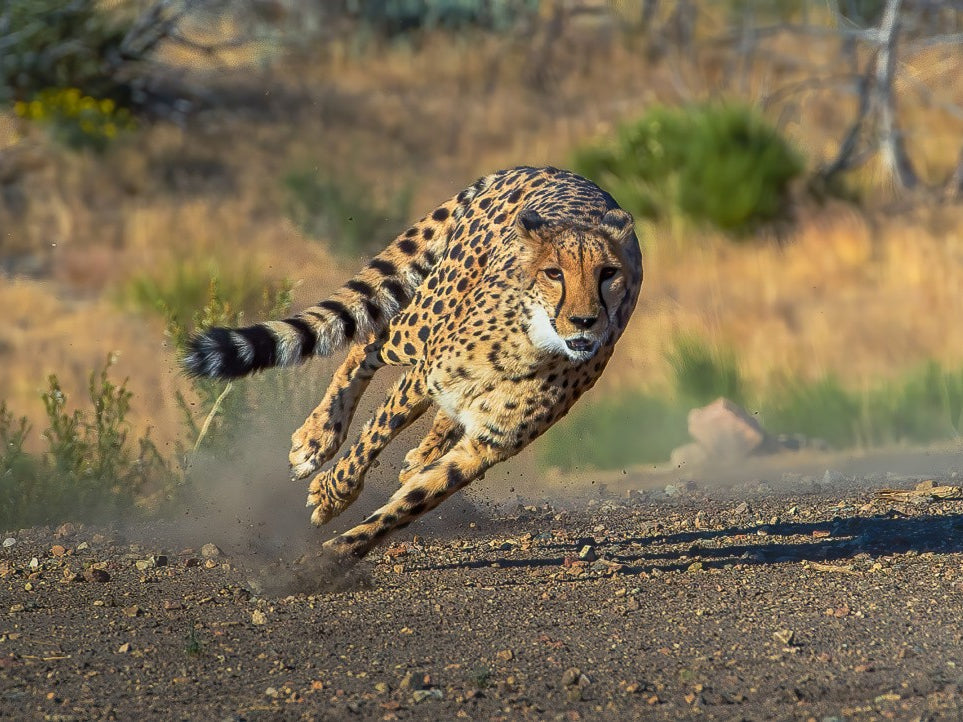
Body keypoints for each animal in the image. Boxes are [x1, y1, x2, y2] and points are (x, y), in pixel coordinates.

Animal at [182, 166, 643, 569]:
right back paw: (318, 438)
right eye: (553, 273)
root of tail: (548, 169)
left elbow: (407, 506)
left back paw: (419, 455)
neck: (533, 348)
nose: (585, 321)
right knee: (369, 344)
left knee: (435, 414)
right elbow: (373, 435)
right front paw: (334, 494)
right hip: (419, 326)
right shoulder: (425, 373)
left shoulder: (486, 448)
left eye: (608, 273)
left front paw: (334, 556)